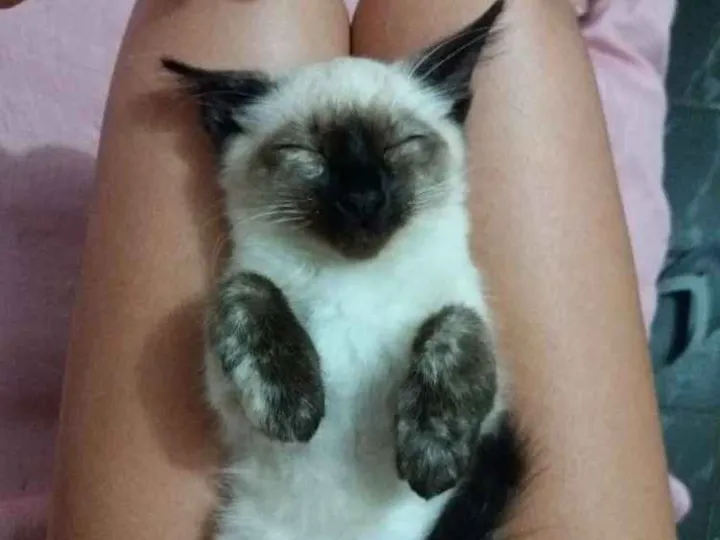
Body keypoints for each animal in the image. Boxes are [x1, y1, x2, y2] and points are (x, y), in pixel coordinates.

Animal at [163, 2, 524, 539]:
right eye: (306, 154)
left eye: (399, 145)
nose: (363, 197)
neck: (355, 279)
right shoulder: (224, 395)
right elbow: (244, 287)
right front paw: (295, 409)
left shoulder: (483, 364)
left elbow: (456, 324)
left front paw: (432, 455)